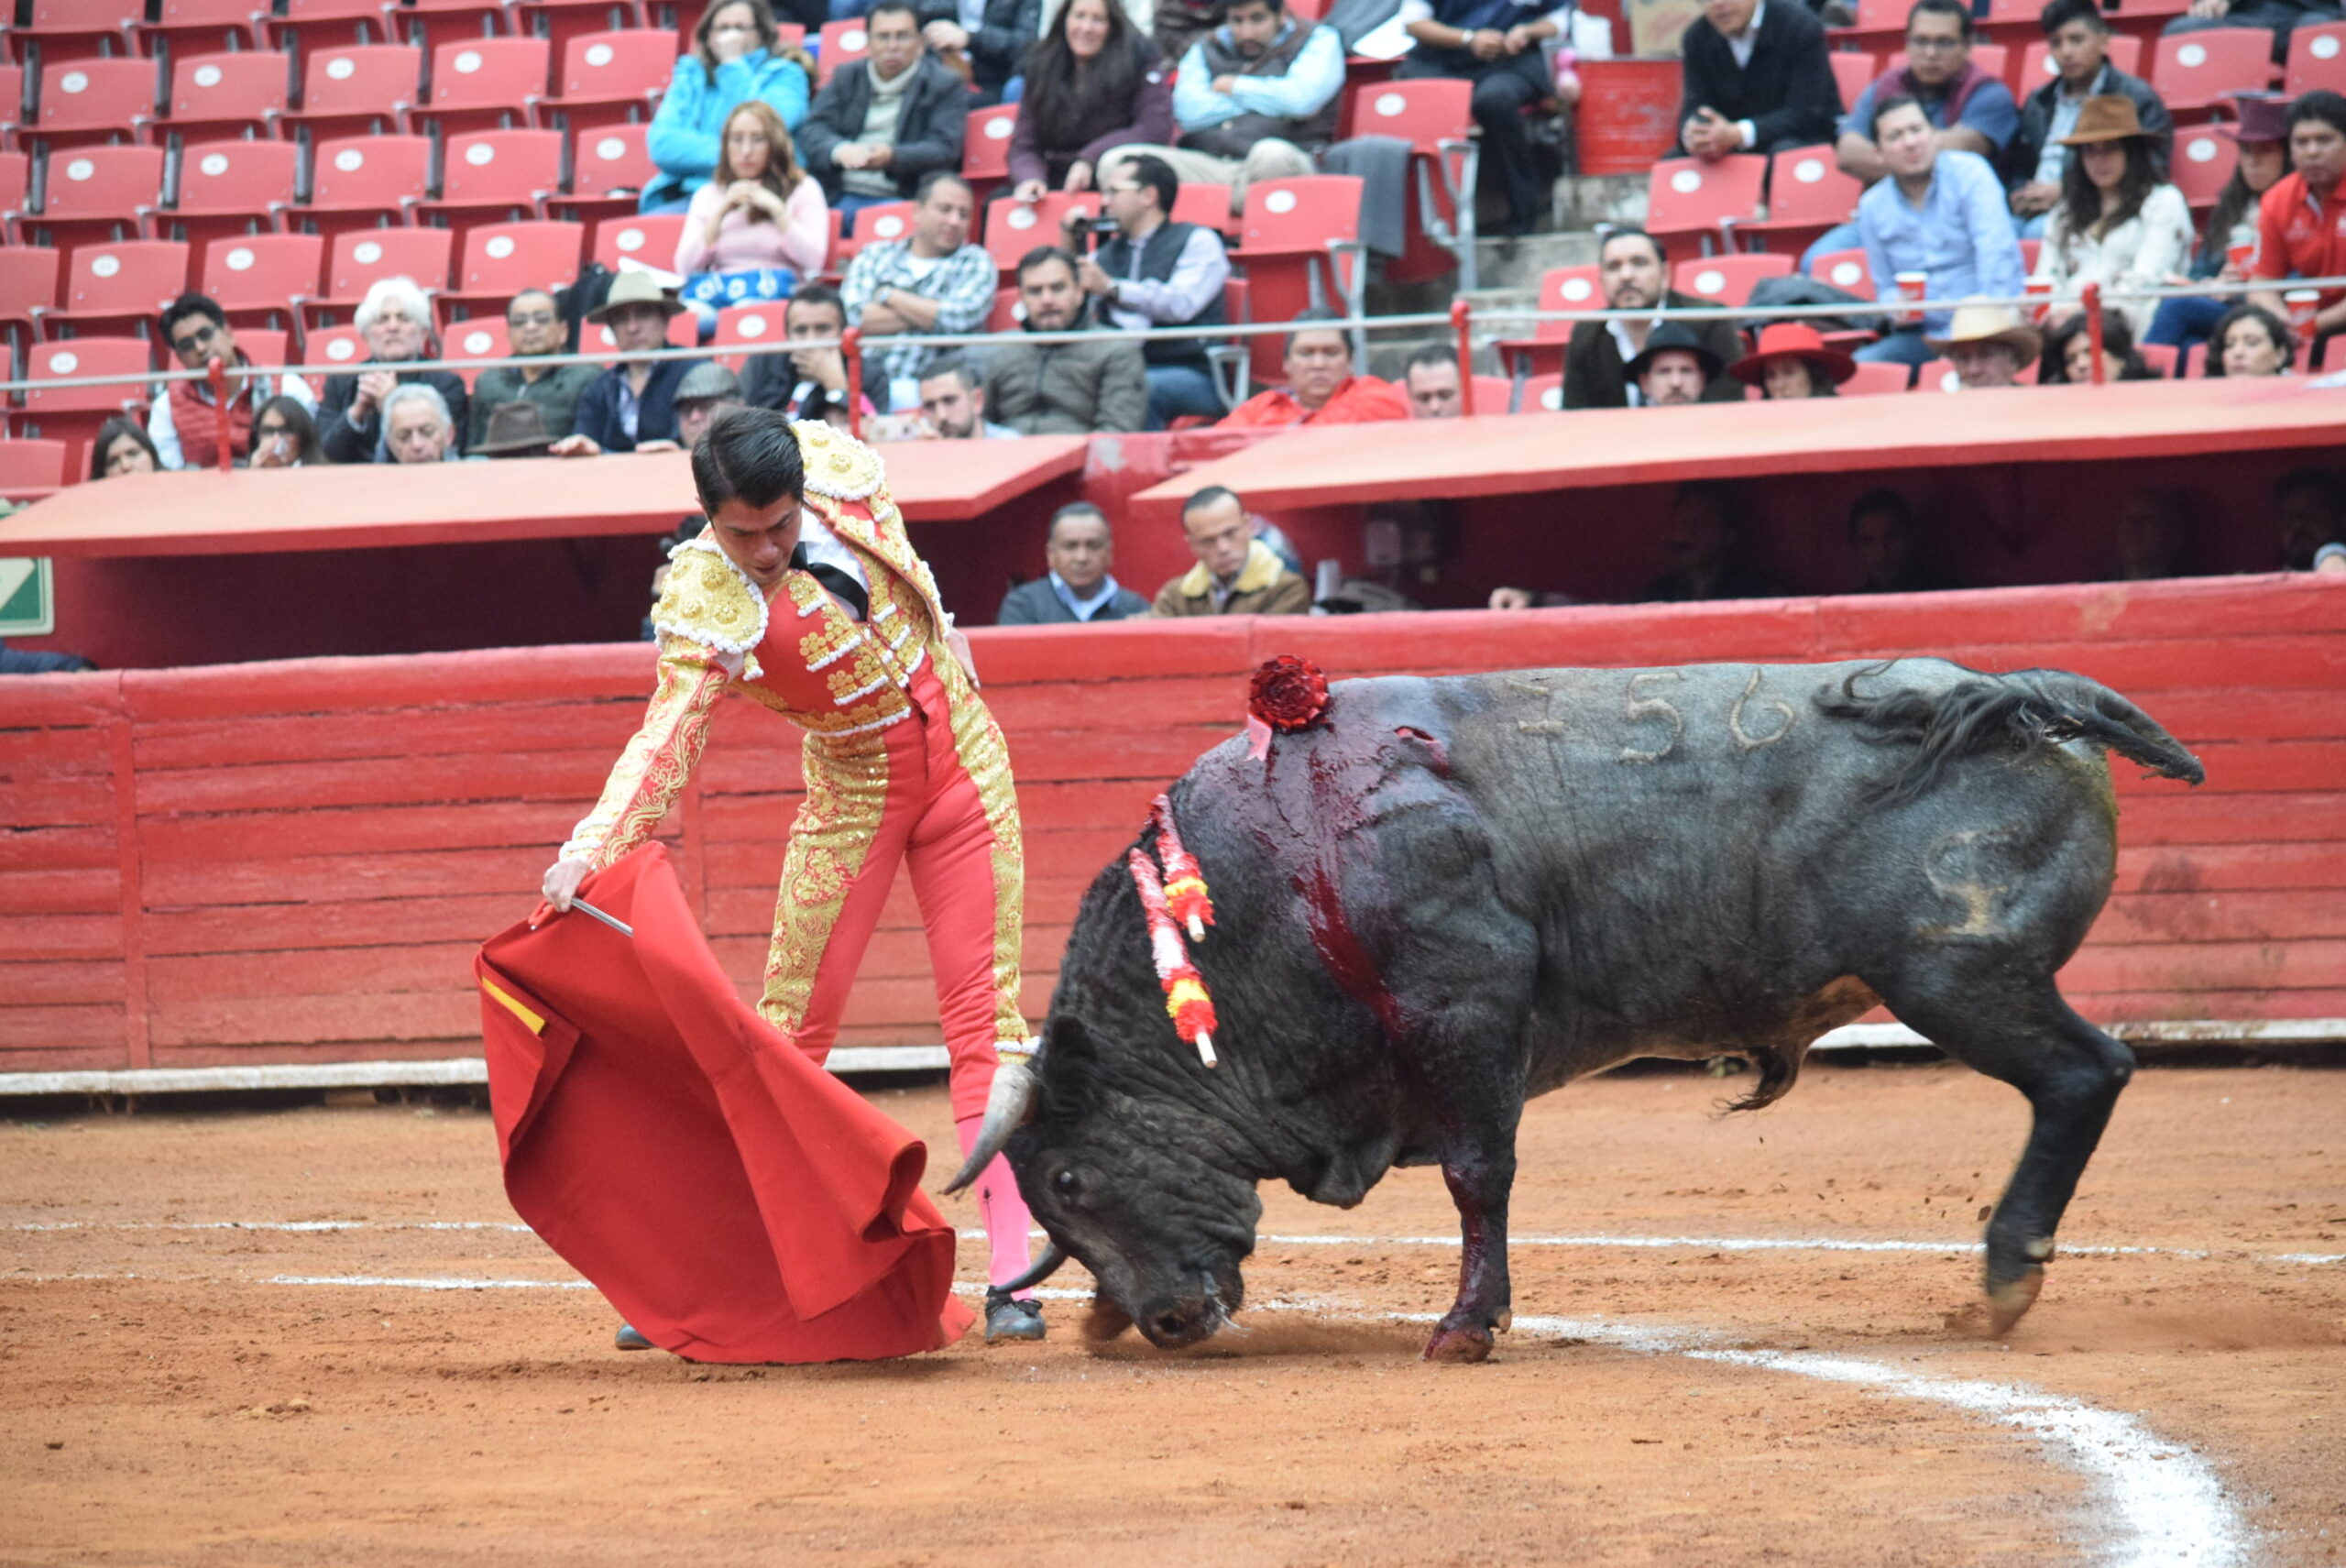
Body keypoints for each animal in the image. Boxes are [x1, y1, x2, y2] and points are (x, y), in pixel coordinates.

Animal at [950, 657, 2205, 1362]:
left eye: (1069, 1179)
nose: (1164, 1320)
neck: (1278, 873)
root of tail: (2021, 701)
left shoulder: (1466, 1005)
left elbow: (1477, 1176)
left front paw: (1467, 1328)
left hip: (1956, 973)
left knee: (2085, 1074)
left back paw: (2004, 1277)